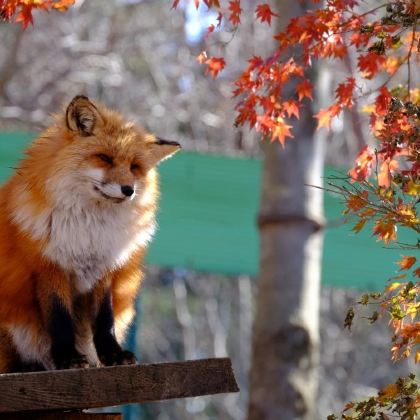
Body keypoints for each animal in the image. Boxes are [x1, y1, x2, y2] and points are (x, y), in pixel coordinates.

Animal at [0, 95, 179, 370]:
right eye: (104, 158)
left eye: (134, 167)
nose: (128, 190)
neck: (88, 230)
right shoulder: (49, 266)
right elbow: (60, 319)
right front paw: (68, 358)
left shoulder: (103, 269)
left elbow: (104, 321)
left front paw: (113, 355)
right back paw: (26, 366)